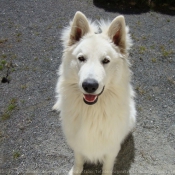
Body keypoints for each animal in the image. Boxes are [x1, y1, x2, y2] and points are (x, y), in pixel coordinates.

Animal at [53, 11, 137, 174]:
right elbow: (78, 160)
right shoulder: (78, 144)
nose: (89, 86)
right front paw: (76, 170)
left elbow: (107, 166)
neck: (92, 111)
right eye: (81, 58)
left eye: (105, 60)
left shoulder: (111, 149)